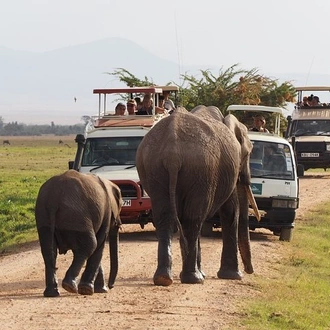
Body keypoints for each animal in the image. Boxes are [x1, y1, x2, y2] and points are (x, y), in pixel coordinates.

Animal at [135, 106, 256, 286]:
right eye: (248, 154)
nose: (250, 271)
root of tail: (172, 154)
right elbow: (230, 210)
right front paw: (234, 276)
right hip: (200, 169)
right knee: (193, 219)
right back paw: (193, 278)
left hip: (154, 168)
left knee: (166, 218)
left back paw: (164, 279)